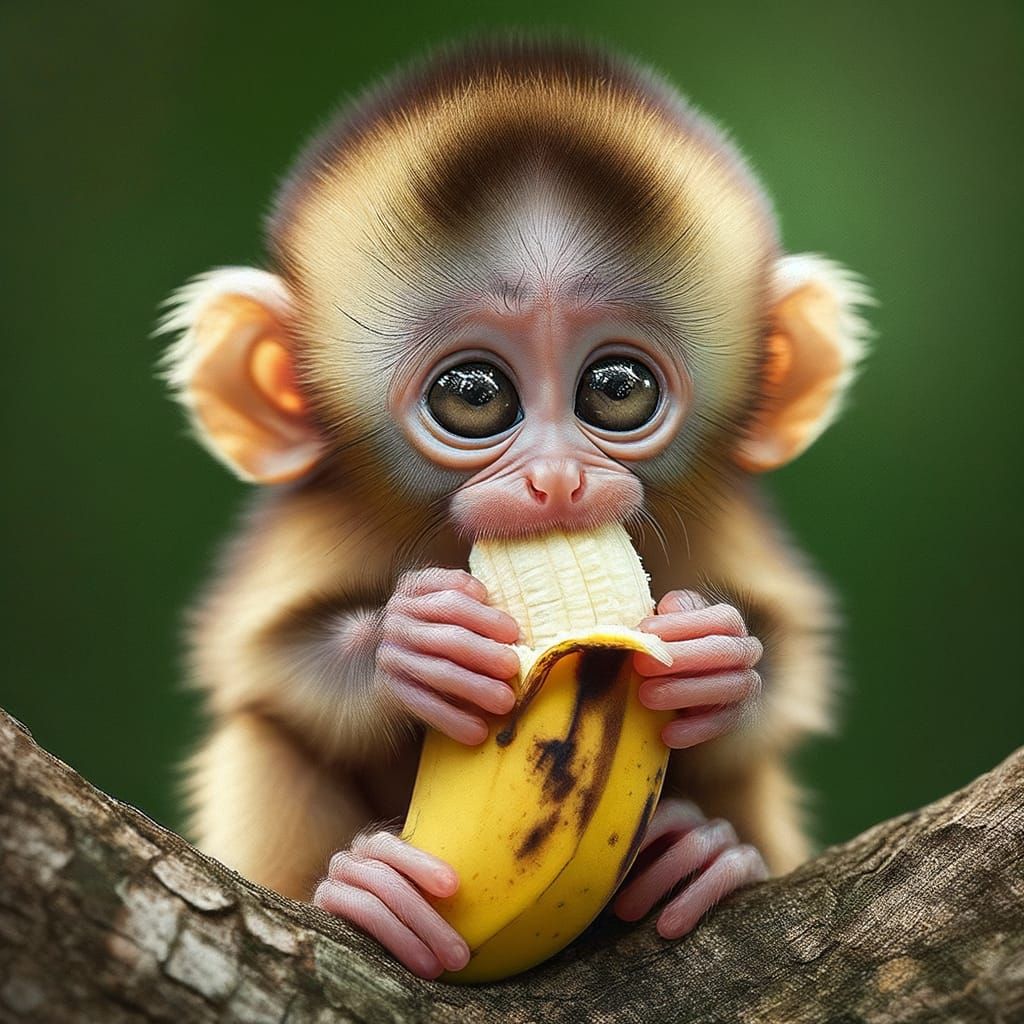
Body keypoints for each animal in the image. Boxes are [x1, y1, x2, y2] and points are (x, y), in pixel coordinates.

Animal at [160, 37, 869, 979]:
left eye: (616, 389)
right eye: (474, 396)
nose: (558, 482)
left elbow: (791, 667)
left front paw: (718, 660)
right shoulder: (313, 521)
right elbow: (255, 659)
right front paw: (414, 645)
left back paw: (701, 857)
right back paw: (367, 888)